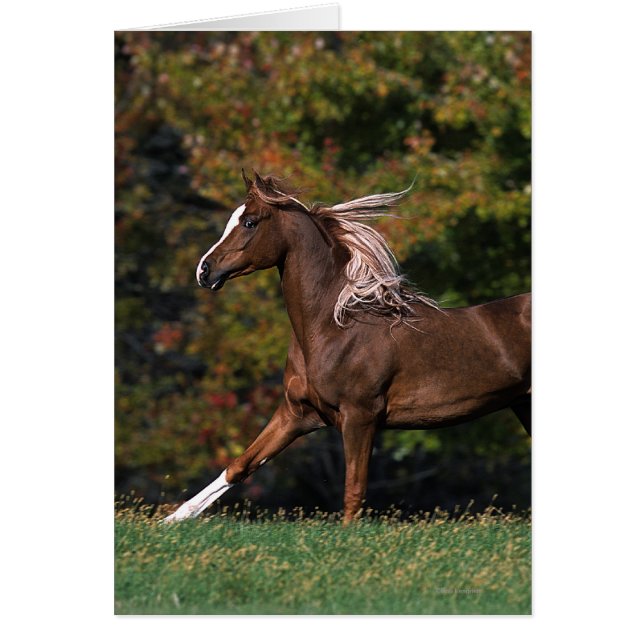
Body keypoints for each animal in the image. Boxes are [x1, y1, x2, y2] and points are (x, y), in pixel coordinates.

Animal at [164, 170, 531, 524]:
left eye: (250, 222)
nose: (204, 271)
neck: (335, 329)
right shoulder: (296, 414)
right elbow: (239, 466)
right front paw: (169, 522)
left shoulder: (360, 417)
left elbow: (354, 493)